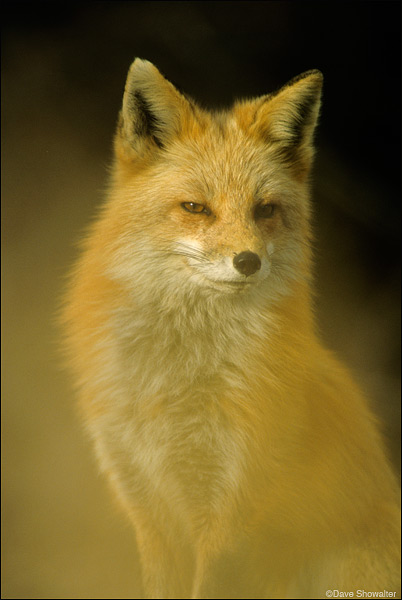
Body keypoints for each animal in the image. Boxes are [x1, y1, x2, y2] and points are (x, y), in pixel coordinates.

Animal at [62, 58, 398, 596]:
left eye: (265, 210)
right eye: (195, 207)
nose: (248, 261)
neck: (177, 384)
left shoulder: (230, 512)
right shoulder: (147, 507)